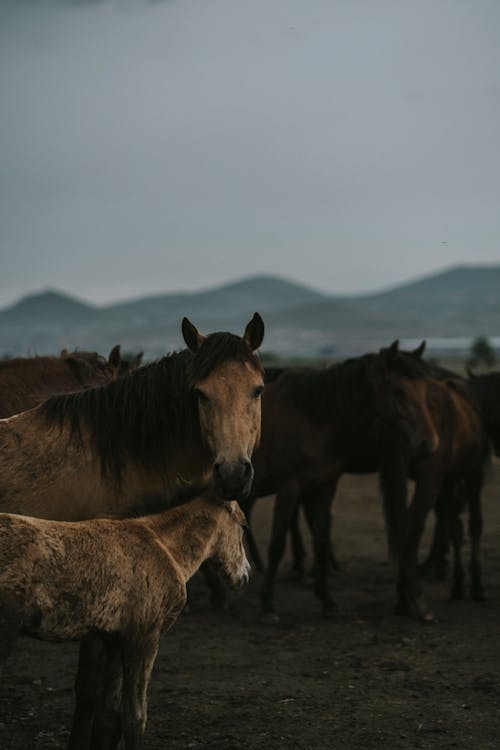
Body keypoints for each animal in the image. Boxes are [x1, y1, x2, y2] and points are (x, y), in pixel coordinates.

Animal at [0, 484, 249, 748]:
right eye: (243, 525)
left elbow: (109, 714)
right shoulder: (144, 639)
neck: (165, 547)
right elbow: (135, 716)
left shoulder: (114, 640)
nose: (245, 574)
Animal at [242, 340, 442, 624]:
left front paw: (328, 601)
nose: (430, 443)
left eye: (426, 390)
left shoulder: (324, 486)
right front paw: (268, 605)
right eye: (399, 390)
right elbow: (278, 543)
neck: (312, 419)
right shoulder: (289, 488)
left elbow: (321, 539)